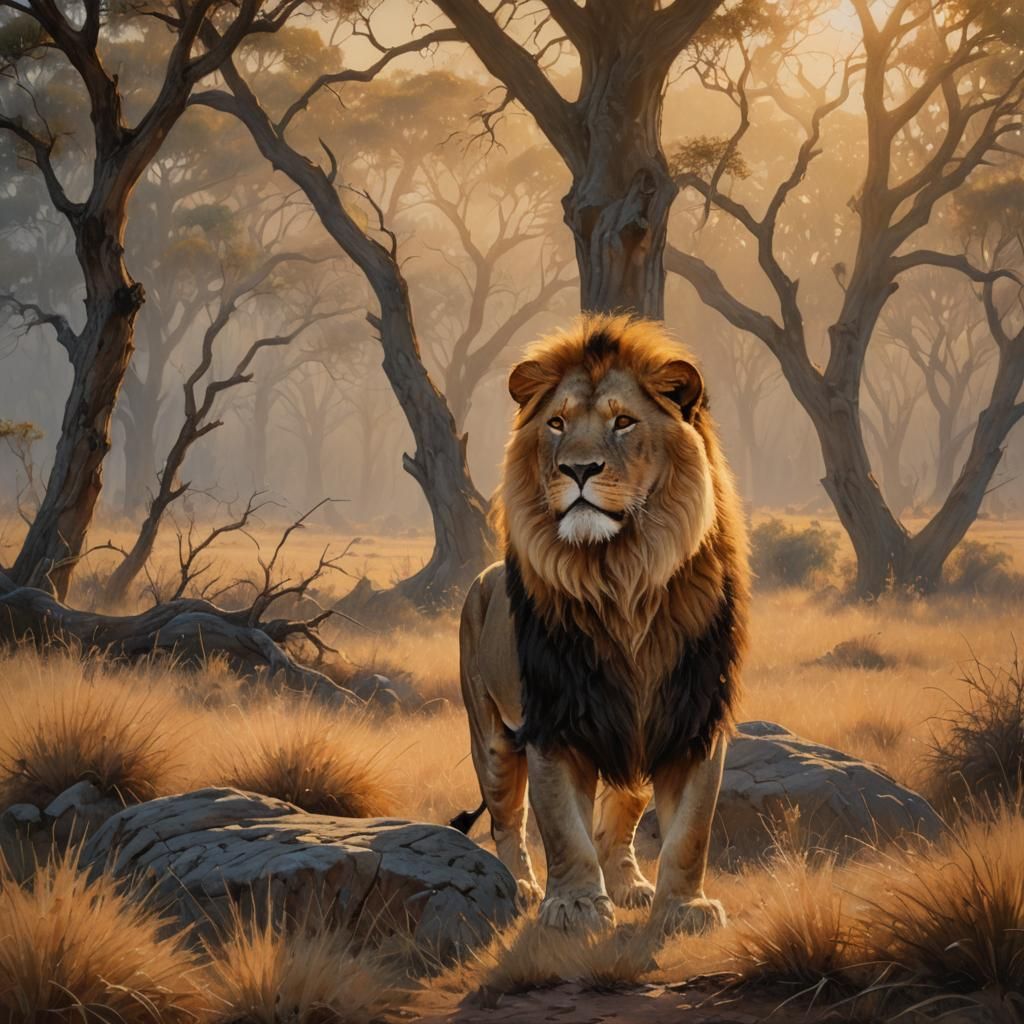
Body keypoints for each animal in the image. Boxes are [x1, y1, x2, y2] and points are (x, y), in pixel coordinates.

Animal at [453, 313, 749, 936]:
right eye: (557, 423)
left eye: (624, 421)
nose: (579, 468)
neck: (621, 578)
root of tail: (481, 579)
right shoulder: (553, 720)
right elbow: (564, 829)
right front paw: (574, 907)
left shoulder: (694, 717)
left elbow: (691, 830)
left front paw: (684, 908)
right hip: (491, 739)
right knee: (506, 821)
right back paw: (519, 886)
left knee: (619, 822)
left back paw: (632, 886)